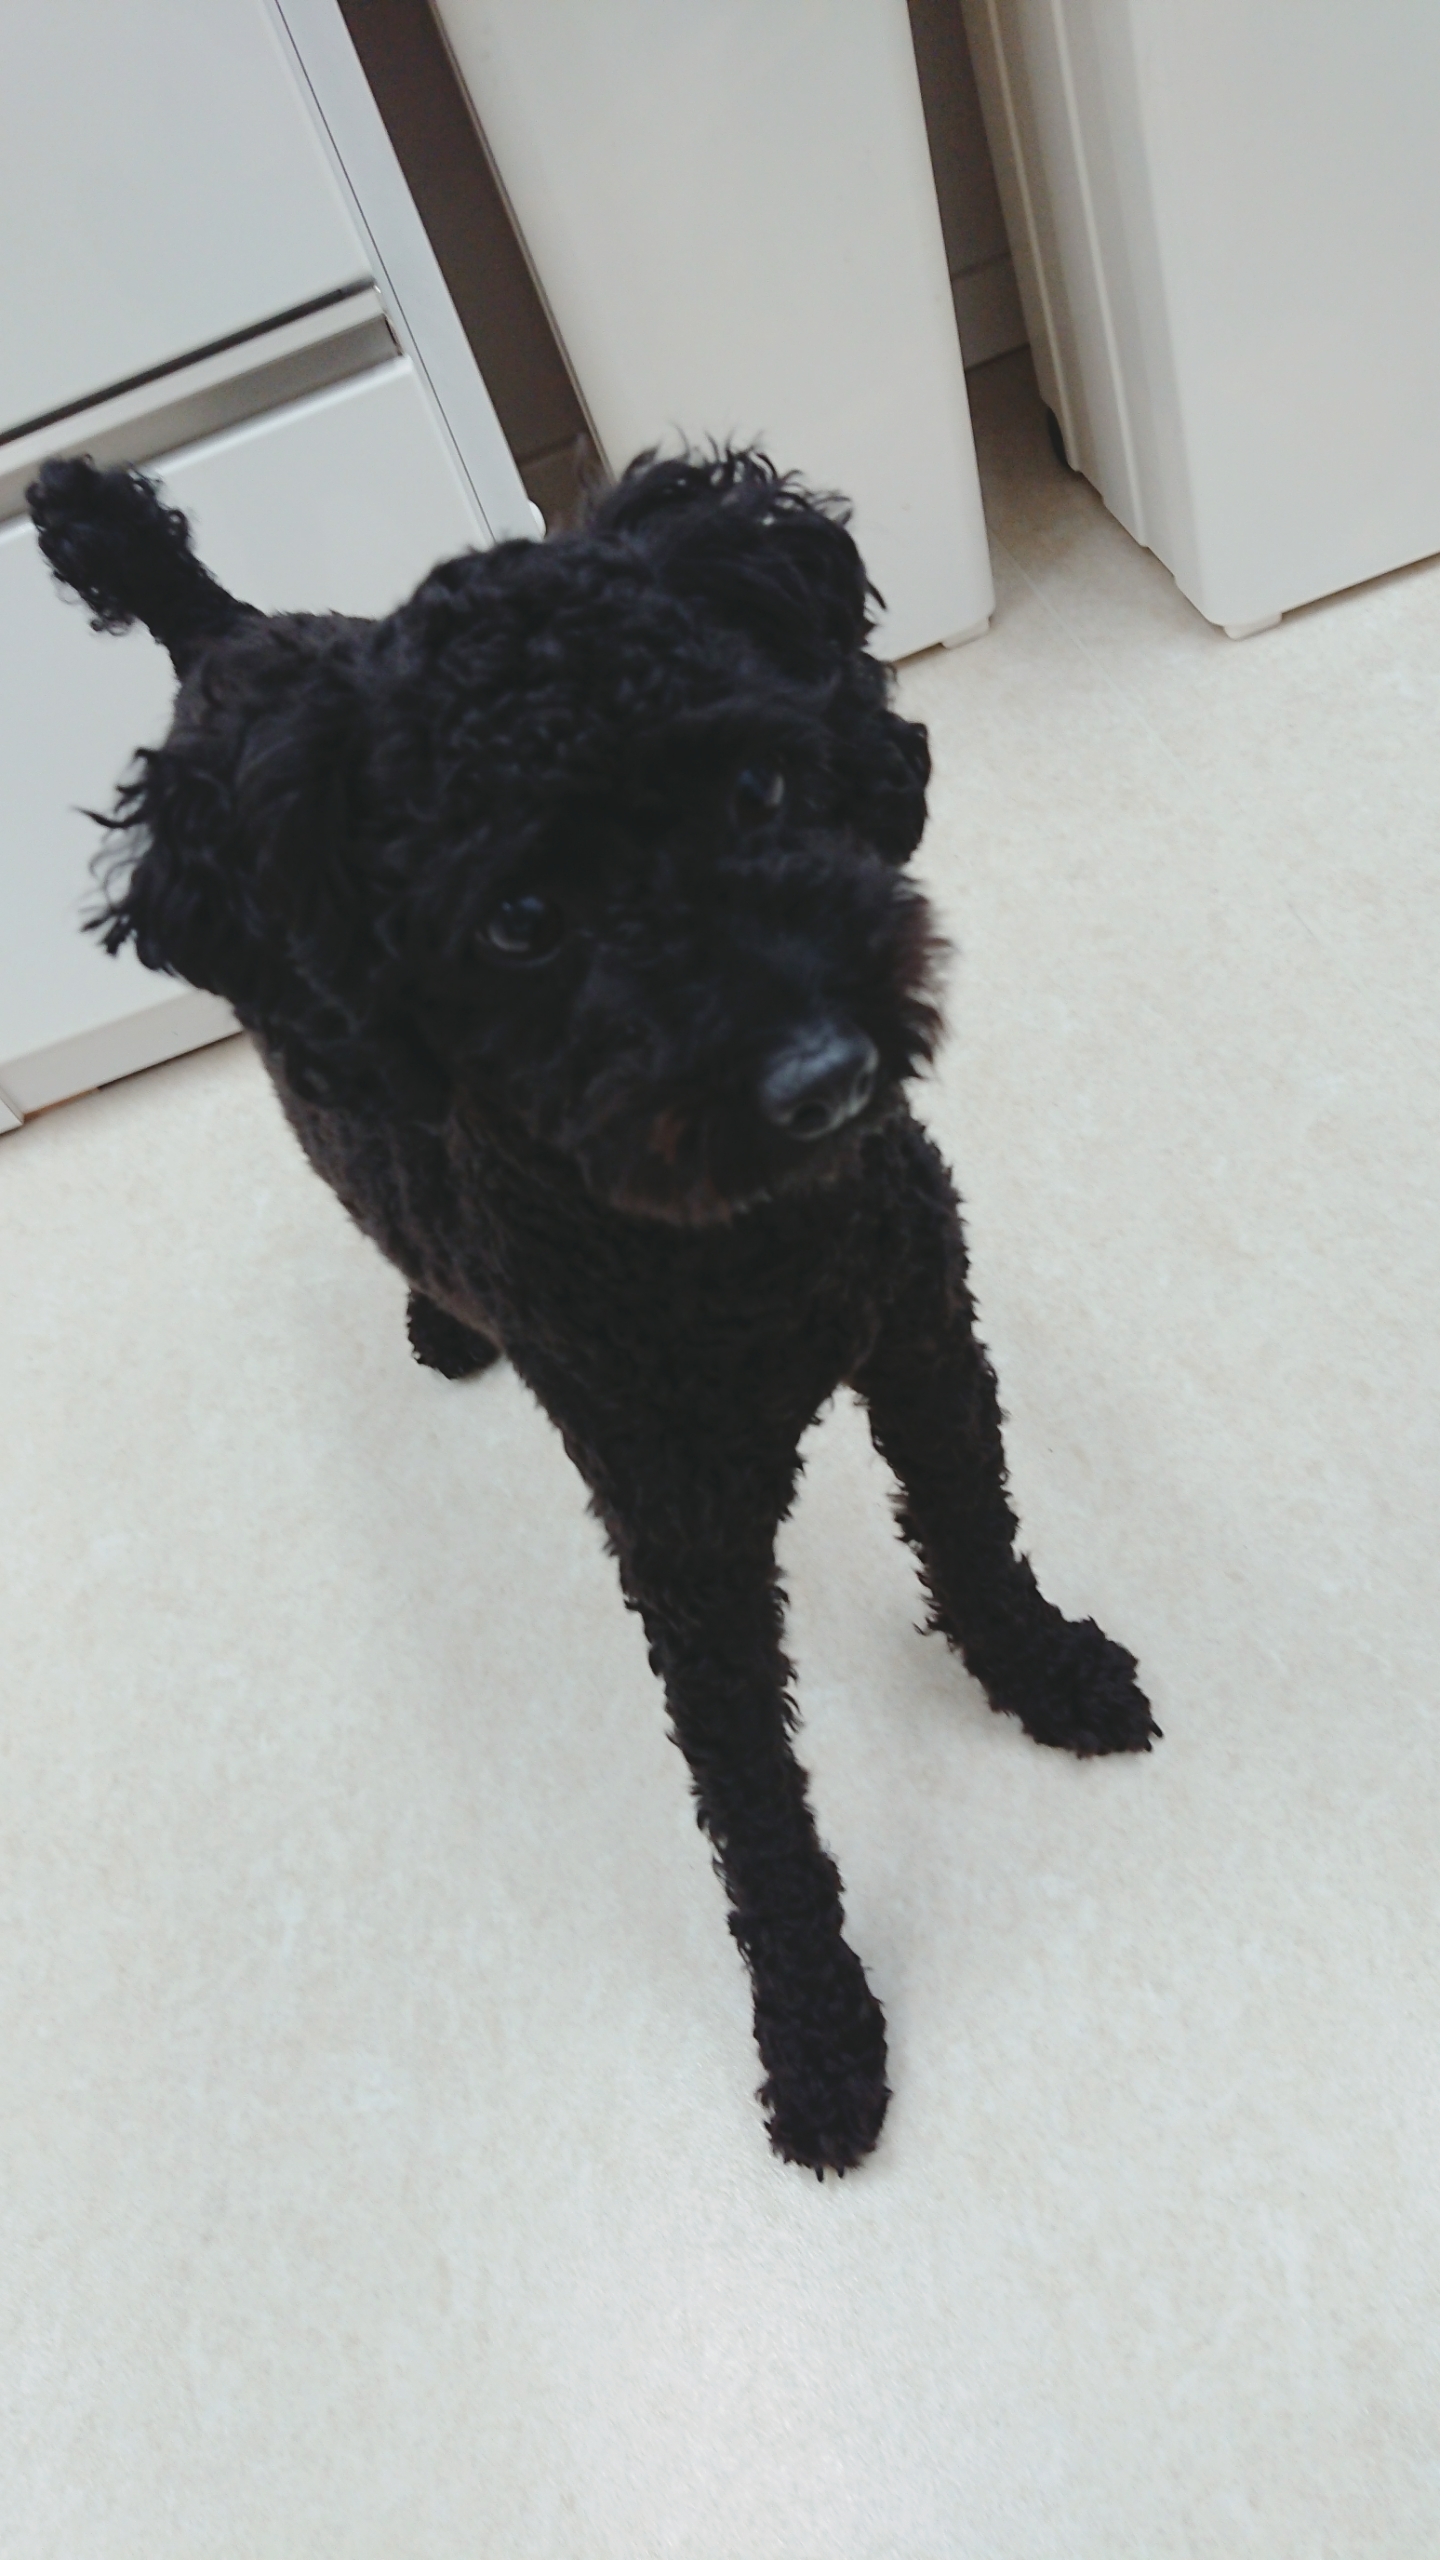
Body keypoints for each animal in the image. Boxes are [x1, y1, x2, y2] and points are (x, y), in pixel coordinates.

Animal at [28, 447, 1156, 2174]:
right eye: (520, 919)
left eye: (757, 787)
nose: (822, 1077)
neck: (749, 1256)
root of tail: (229, 633)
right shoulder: (677, 1529)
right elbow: (752, 1802)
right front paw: (817, 2035)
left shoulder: (923, 1326)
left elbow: (974, 1535)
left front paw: (1047, 1674)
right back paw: (444, 1324)